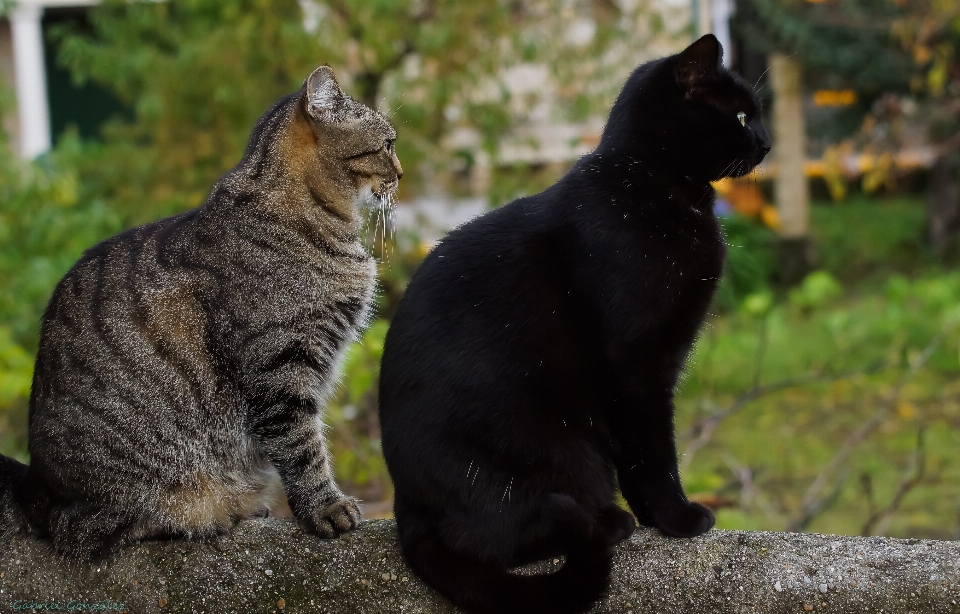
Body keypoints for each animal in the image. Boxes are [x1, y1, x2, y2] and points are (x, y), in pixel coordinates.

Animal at [0, 66, 402, 564]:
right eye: (388, 144)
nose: (401, 174)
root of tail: (32, 483)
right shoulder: (281, 366)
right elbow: (303, 445)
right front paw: (326, 509)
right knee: (87, 529)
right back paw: (215, 512)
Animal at [378, 35, 768, 614]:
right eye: (742, 114)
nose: (767, 141)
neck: (652, 187)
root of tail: (406, 507)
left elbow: (642, 457)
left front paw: (659, 521)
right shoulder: (637, 369)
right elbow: (652, 453)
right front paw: (677, 519)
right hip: (556, 451)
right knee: (496, 540)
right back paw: (606, 523)